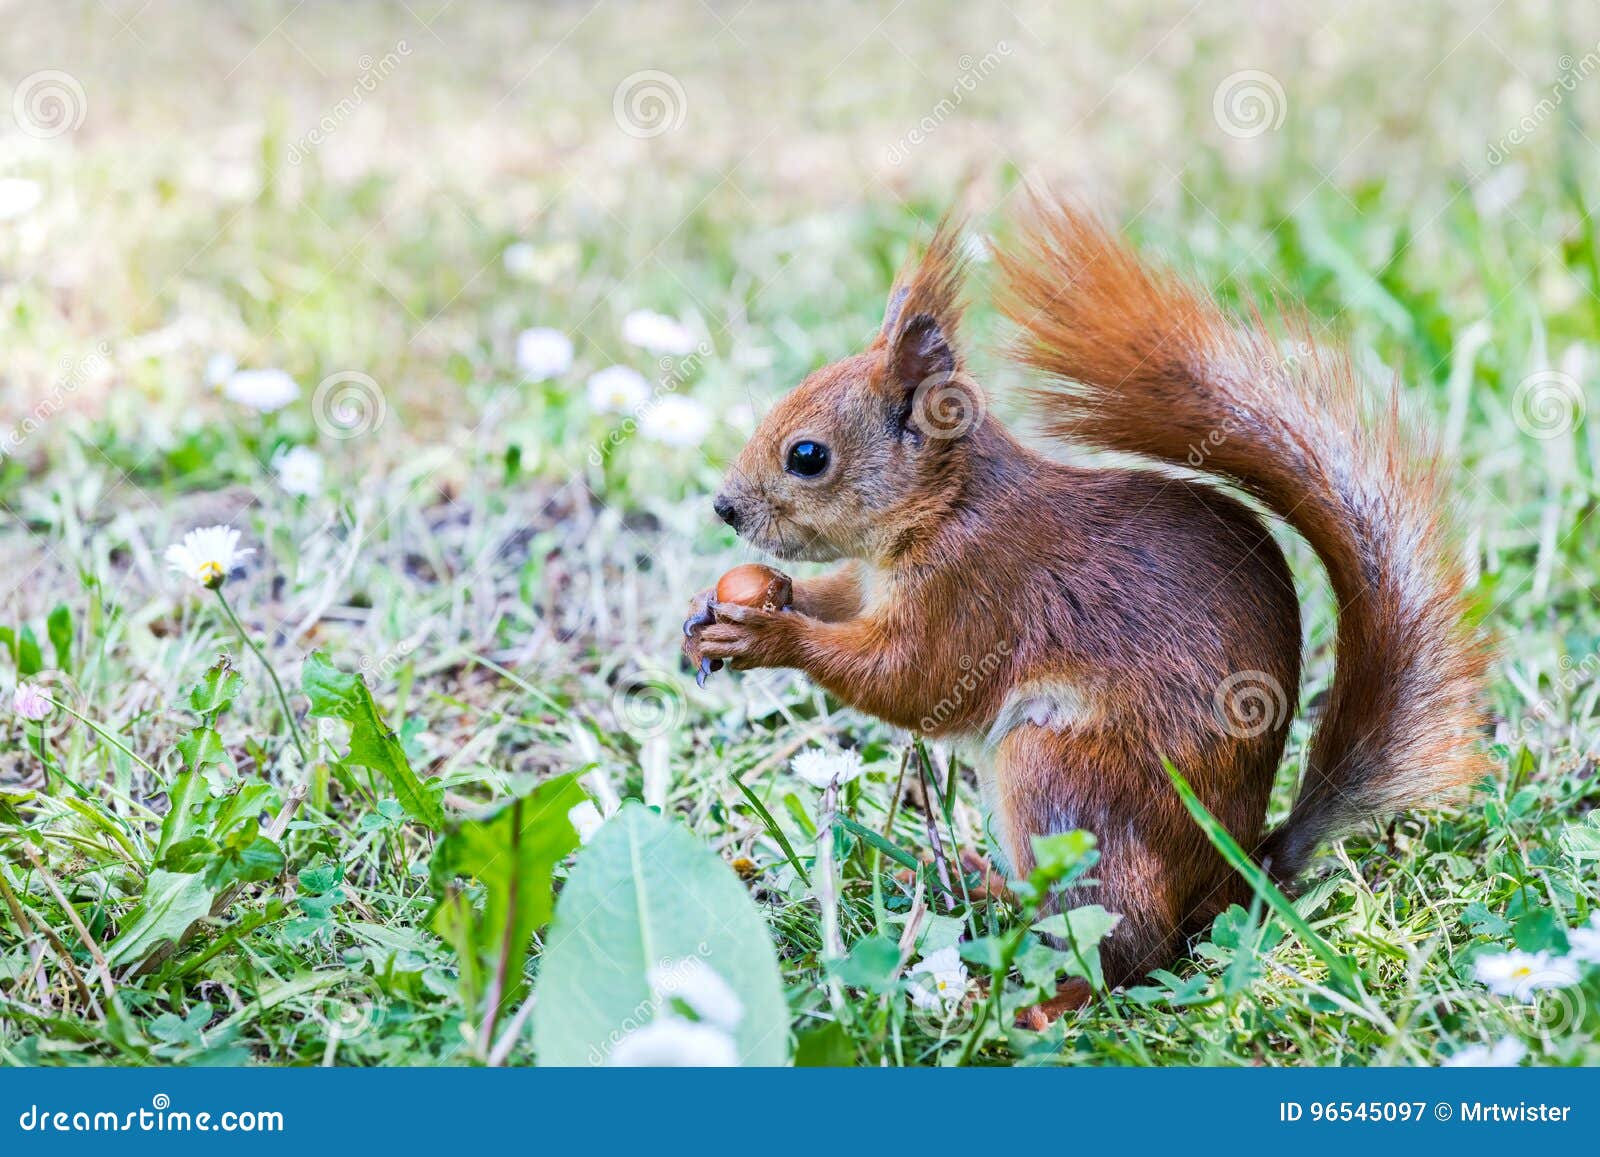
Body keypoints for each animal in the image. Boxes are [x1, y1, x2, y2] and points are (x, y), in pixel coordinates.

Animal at [681, 196, 1491, 998]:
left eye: (807, 456)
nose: (725, 508)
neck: (947, 505)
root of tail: (1232, 880)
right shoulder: (873, 578)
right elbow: (841, 598)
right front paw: (742, 603)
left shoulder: (976, 592)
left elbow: (912, 680)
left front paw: (766, 636)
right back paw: (981, 885)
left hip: (1063, 781)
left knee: (1130, 948)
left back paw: (1043, 987)